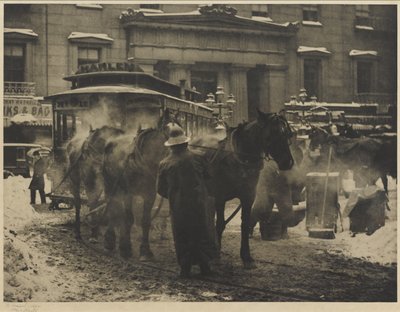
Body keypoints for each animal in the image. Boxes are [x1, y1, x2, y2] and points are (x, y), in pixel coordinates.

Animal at [101, 108, 178, 260]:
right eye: (170, 133)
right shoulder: (128, 193)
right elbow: (129, 218)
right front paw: (125, 248)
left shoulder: (149, 195)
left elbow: (145, 221)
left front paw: (145, 251)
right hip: (109, 184)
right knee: (112, 207)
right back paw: (110, 241)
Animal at [191, 109, 294, 268]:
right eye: (272, 133)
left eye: (288, 134)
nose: (287, 162)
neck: (239, 159)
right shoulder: (220, 197)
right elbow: (220, 224)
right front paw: (217, 255)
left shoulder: (248, 197)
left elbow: (245, 224)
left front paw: (246, 257)